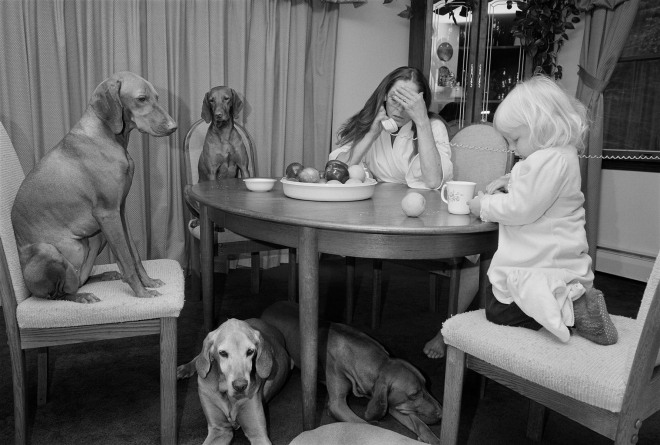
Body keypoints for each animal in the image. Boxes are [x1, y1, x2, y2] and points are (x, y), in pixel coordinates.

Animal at [262, 300, 444, 442]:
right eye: (414, 394)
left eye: (427, 385)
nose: (442, 414)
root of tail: (269, 306)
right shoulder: (337, 405)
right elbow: (364, 424)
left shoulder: (388, 401)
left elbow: (420, 424)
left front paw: (433, 439)